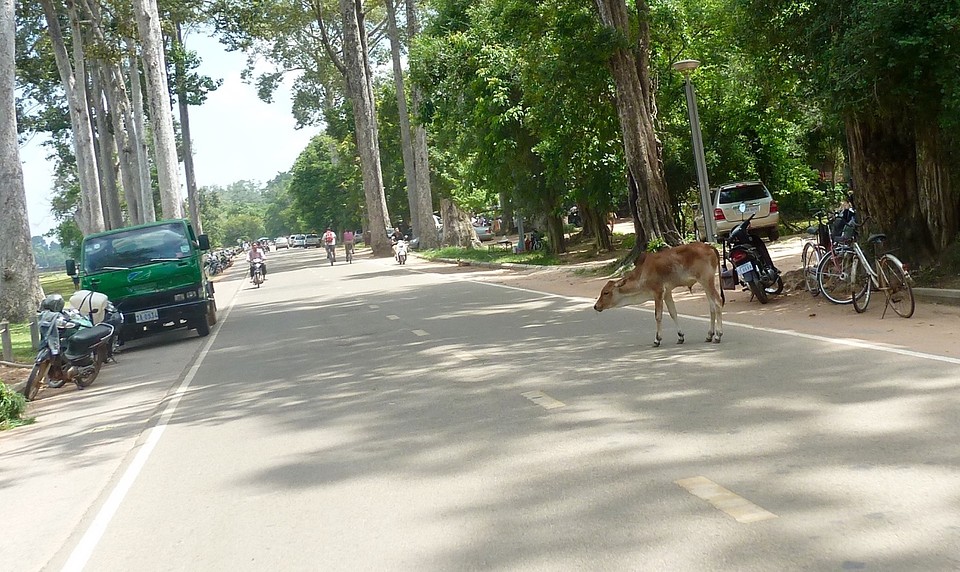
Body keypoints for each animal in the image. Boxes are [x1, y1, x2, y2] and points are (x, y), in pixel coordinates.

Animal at [593, 242, 724, 347]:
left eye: (606, 292)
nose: (596, 306)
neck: (642, 273)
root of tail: (709, 246)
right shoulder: (667, 293)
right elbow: (673, 313)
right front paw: (680, 336)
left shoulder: (658, 292)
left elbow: (658, 316)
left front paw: (657, 340)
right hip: (705, 283)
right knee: (712, 306)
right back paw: (709, 335)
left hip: (707, 281)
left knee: (717, 302)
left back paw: (718, 335)